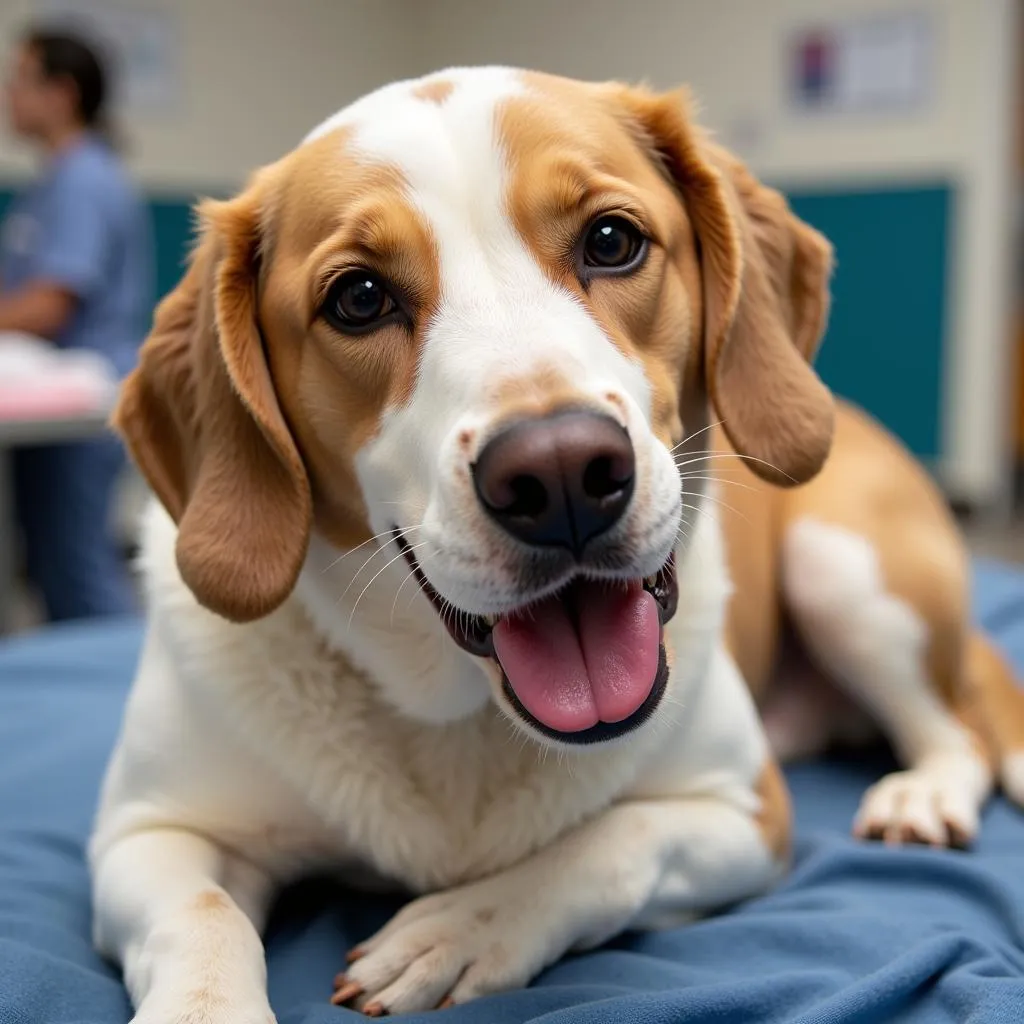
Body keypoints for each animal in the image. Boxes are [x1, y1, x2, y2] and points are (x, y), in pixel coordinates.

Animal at [88, 68, 1024, 1019]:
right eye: (358, 298)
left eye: (611, 241)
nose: (563, 474)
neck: (460, 715)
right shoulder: (147, 834)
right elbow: (203, 920)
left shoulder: (747, 814)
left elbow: (609, 841)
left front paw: (466, 926)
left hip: (843, 572)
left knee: (960, 731)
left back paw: (923, 794)